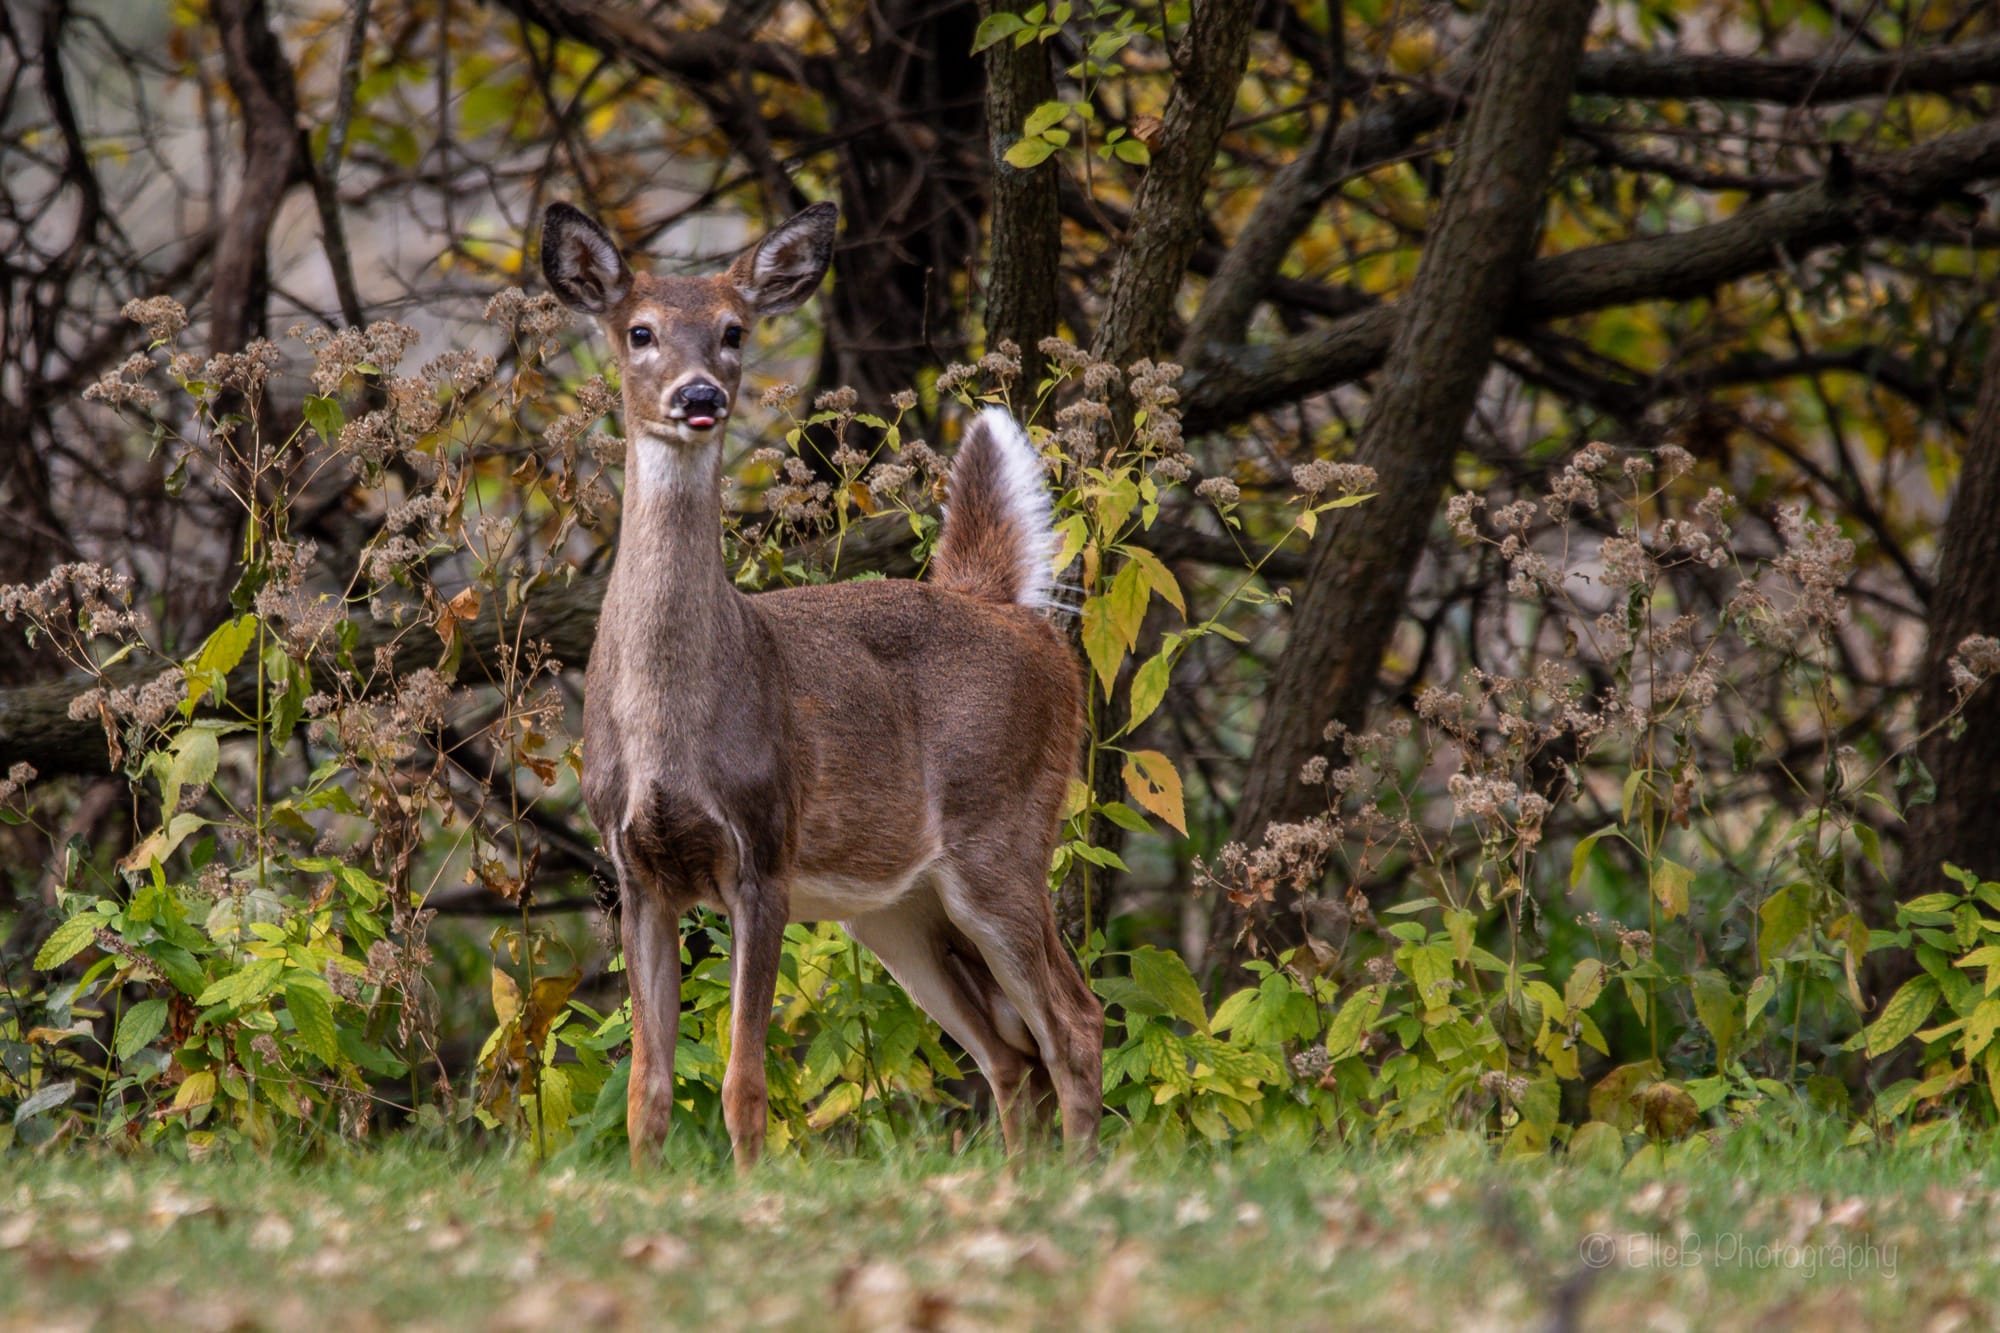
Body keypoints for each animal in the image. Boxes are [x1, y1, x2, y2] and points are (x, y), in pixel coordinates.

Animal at [548, 197, 1104, 1160]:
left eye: (734, 329)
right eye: (639, 331)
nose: (700, 395)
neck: (669, 726)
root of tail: (1009, 609)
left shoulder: (764, 849)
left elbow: (744, 1079)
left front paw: (749, 1178)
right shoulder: (637, 869)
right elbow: (646, 1086)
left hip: (1002, 837)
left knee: (1074, 1023)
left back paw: (1082, 1174)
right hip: (897, 908)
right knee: (1011, 1051)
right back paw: (1018, 1177)